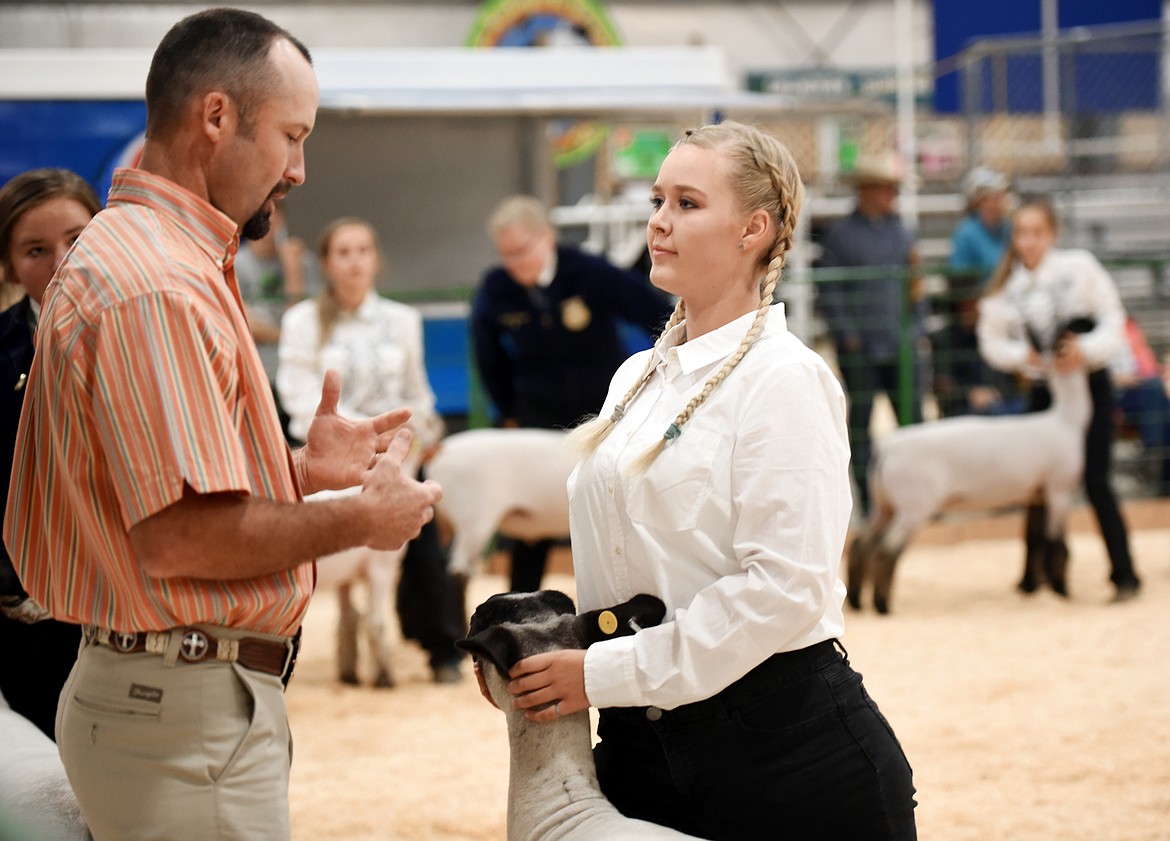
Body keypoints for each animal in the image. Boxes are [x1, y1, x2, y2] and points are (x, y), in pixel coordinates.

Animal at [847, 364, 1090, 612]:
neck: (1065, 420)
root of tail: (886, 448)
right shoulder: (1058, 489)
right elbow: (1058, 544)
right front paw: (1061, 590)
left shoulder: (1037, 495)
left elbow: (1036, 538)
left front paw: (1034, 587)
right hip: (913, 508)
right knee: (886, 550)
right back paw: (882, 605)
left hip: (884, 505)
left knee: (861, 544)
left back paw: (856, 600)